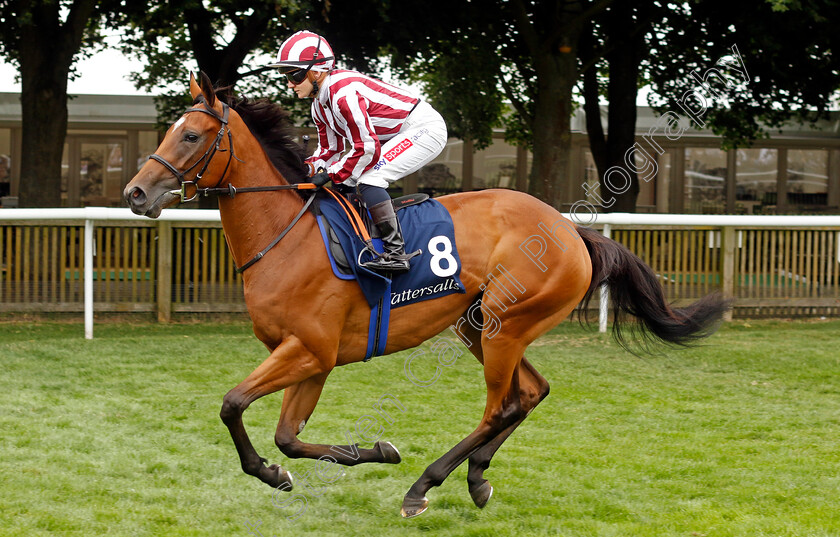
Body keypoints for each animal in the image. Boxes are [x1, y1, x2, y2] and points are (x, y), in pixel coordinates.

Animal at [123, 72, 728, 516]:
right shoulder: (311, 359)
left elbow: (233, 405)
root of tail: (570, 229)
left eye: (191, 136)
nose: (135, 193)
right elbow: (288, 437)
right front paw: (351, 455)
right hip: (479, 324)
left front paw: (291, 470)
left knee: (499, 406)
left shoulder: (309, 350)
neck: (287, 236)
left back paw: (424, 486)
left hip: (505, 324)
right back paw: (477, 478)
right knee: (529, 394)